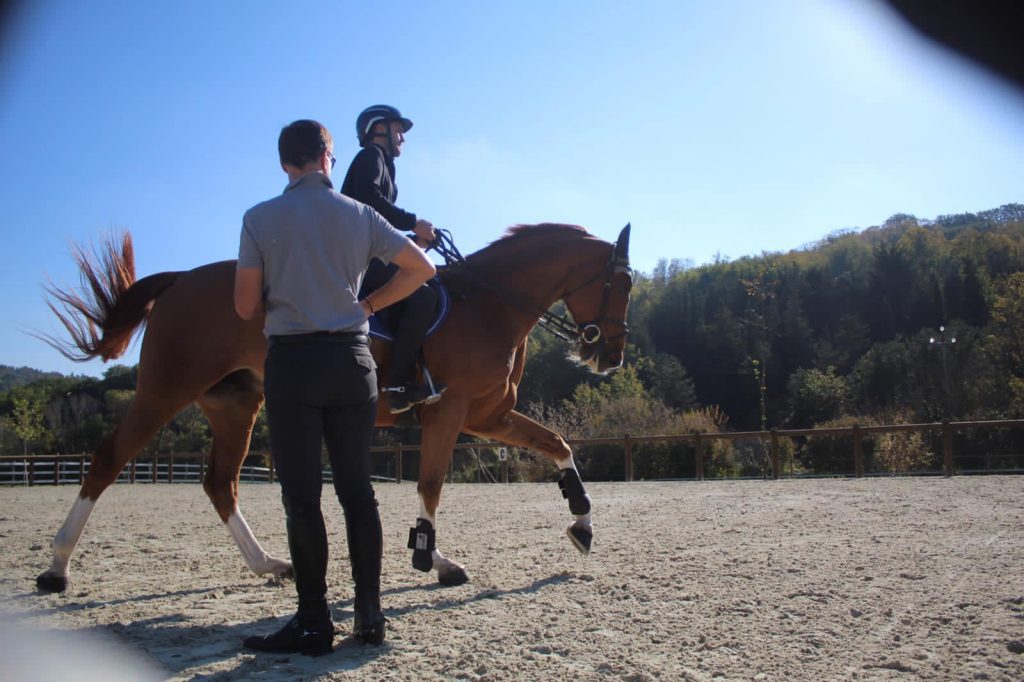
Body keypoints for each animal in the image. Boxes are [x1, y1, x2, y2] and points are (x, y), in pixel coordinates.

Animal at [37, 222, 630, 589]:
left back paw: (268, 564)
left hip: (235, 405)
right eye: (621, 281)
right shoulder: (449, 410)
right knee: (109, 460)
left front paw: (583, 525)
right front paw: (432, 558)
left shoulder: (488, 416)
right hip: (165, 389)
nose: (611, 357)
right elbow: (431, 483)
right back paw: (57, 568)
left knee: (220, 482)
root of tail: (182, 279)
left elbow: (558, 445)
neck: (488, 303)